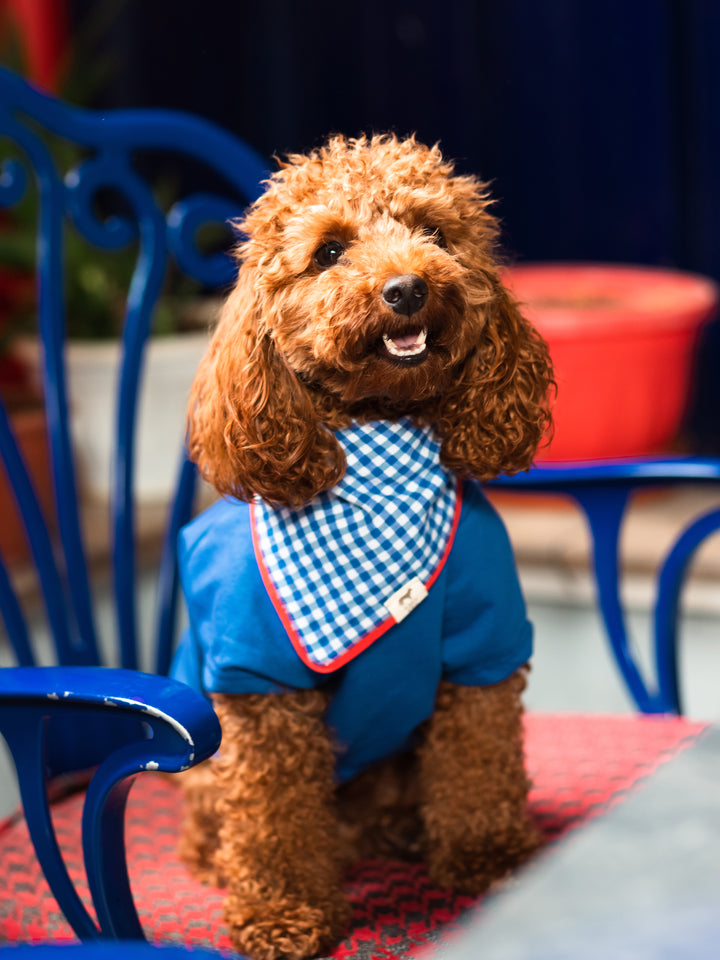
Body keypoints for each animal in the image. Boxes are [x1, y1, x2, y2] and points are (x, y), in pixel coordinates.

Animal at [172, 135, 556, 960]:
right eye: (329, 251)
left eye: (436, 234)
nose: (408, 289)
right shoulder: (260, 683)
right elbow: (274, 814)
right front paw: (282, 910)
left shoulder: (484, 649)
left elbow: (479, 763)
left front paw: (489, 859)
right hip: (206, 765)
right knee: (217, 819)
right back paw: (220, 858)